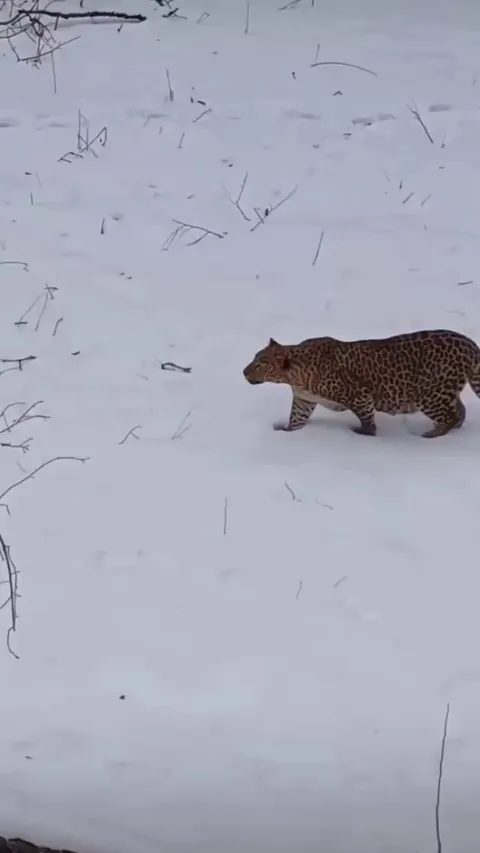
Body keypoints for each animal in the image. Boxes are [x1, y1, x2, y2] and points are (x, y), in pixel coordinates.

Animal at [243, 329, 480, 438]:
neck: (295, 376)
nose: (244, 372)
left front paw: (364, 435)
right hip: (444, 393)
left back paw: (431, 436)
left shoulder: (360, 396)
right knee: (460, 411)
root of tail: (469, 343)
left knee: (450, 416)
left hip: (429, 396)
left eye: (260, 363)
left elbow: (367, 420)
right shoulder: (304, 401)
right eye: (254, 358)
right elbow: (296, 420)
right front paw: (287, 433)